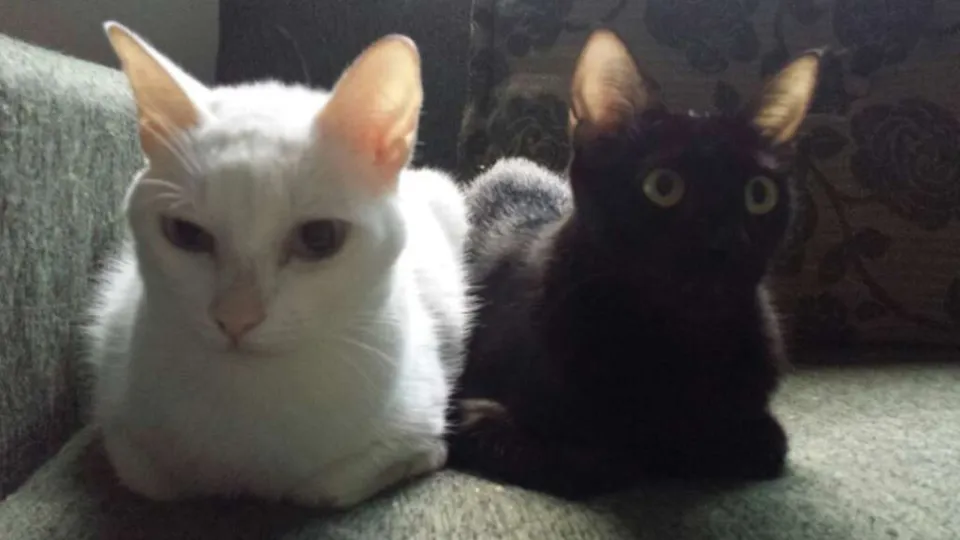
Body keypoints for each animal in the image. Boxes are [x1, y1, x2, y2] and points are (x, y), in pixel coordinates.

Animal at [85, 22, 470, 509]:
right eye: (186, 234)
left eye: (319, 238)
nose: (235, 318)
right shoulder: (117, 419)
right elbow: (153, 479)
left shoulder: (412, 425)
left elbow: (327, 487)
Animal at [446, 29, 821, 499]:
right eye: (663, 186)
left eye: (759, 193)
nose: (727, 242)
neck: (675, 342)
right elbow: (590, 462)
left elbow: (763, 443)